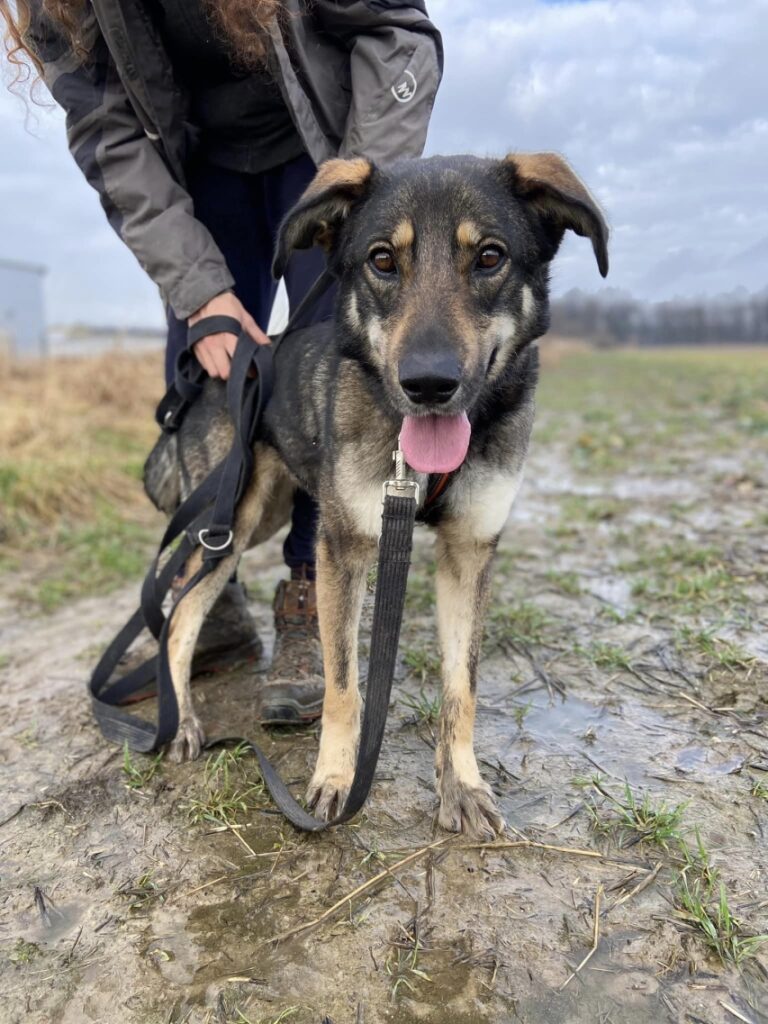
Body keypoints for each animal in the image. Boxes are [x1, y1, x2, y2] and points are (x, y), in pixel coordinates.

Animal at [144, 153, 610, 839]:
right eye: (383, 260)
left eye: (490, 257)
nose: (429, 384)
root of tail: (214, 375)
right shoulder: (345, 546)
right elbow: (344, 685)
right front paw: (337, 780)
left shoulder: (469, 551)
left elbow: (461, 686)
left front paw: (462, 785)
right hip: (232, 523)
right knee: (177, 615)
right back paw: (182, 722)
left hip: (266, 513)